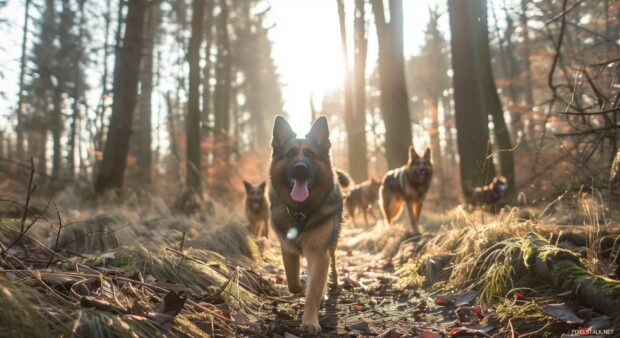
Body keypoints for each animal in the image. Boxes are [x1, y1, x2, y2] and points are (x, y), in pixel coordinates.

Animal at [268, 115, 344, 334]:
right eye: (290, 154)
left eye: (310, 154)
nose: (300, 168)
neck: (300, 212)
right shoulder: (287, 250)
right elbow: (293, 282)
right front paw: (302, 284)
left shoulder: (318, 253)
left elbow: (314, 290)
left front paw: (310, 321)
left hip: (332, 244)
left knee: (333, 261)